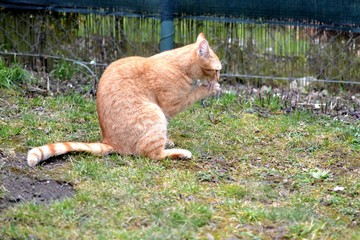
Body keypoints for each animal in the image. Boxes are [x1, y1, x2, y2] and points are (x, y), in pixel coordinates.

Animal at [26, 32, 222, 167]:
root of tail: (108, 141)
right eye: (216, 71)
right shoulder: (171, 105)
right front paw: (210, 88)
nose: (219, 78)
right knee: (152, 154)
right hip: (155, 113)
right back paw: (180, 152)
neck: (180, 65)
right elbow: (193, 94)